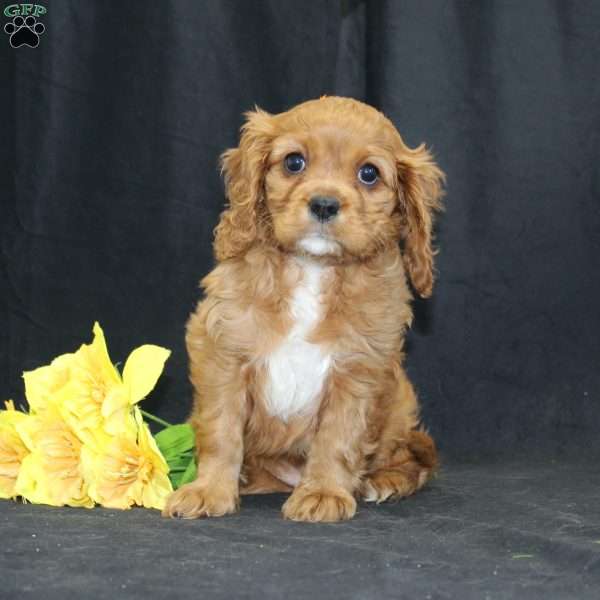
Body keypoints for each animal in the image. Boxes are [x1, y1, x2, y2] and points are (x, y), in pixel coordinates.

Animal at [164, 95, 446, 520]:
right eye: (294, 162)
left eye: (369, 173)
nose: (324, 204)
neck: (313, 268)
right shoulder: (221, 348)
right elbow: (220, 428)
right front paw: (208, 490)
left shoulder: (359, 368)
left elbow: (338, 436)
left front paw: (324, 492)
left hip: (400, 401)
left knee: (413, 457)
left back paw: (385, 482)